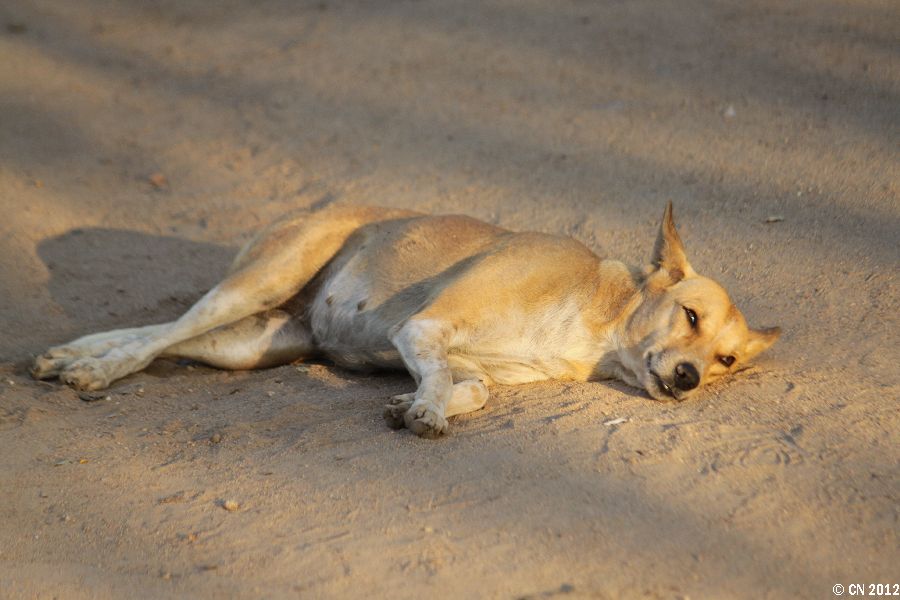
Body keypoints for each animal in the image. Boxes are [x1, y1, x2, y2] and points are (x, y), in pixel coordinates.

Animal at [32, 203, 779, 437]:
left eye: (726, 360)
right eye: (689, 315)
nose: (689, 379)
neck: (597, 323)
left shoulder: (474, 367)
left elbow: (468, 388)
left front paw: (416, 403)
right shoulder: (421, 331)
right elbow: (441, 376)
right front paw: (424, 409)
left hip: (253, 343)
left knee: (168, 338)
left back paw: (69, 356)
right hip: (261, 280)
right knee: (163, 334)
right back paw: (92, 370)